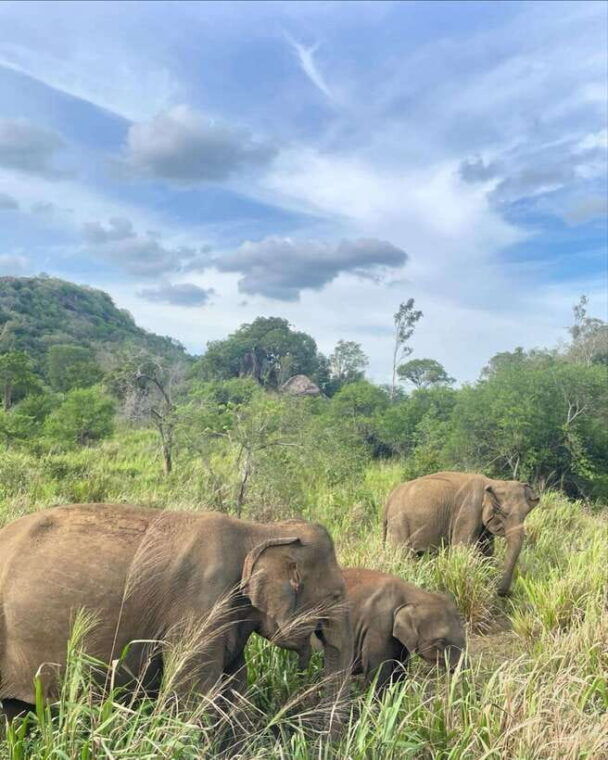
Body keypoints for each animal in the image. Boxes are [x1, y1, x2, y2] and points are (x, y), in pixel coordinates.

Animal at [383, 471, 540, 596]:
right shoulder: (468, 511)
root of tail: (389, 498)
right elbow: (462, 548)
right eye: (503, 513)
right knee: (401, 554)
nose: (504, 593)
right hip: (399, 522)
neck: (493, 481)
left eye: (526, 513)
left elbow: (487, 550)